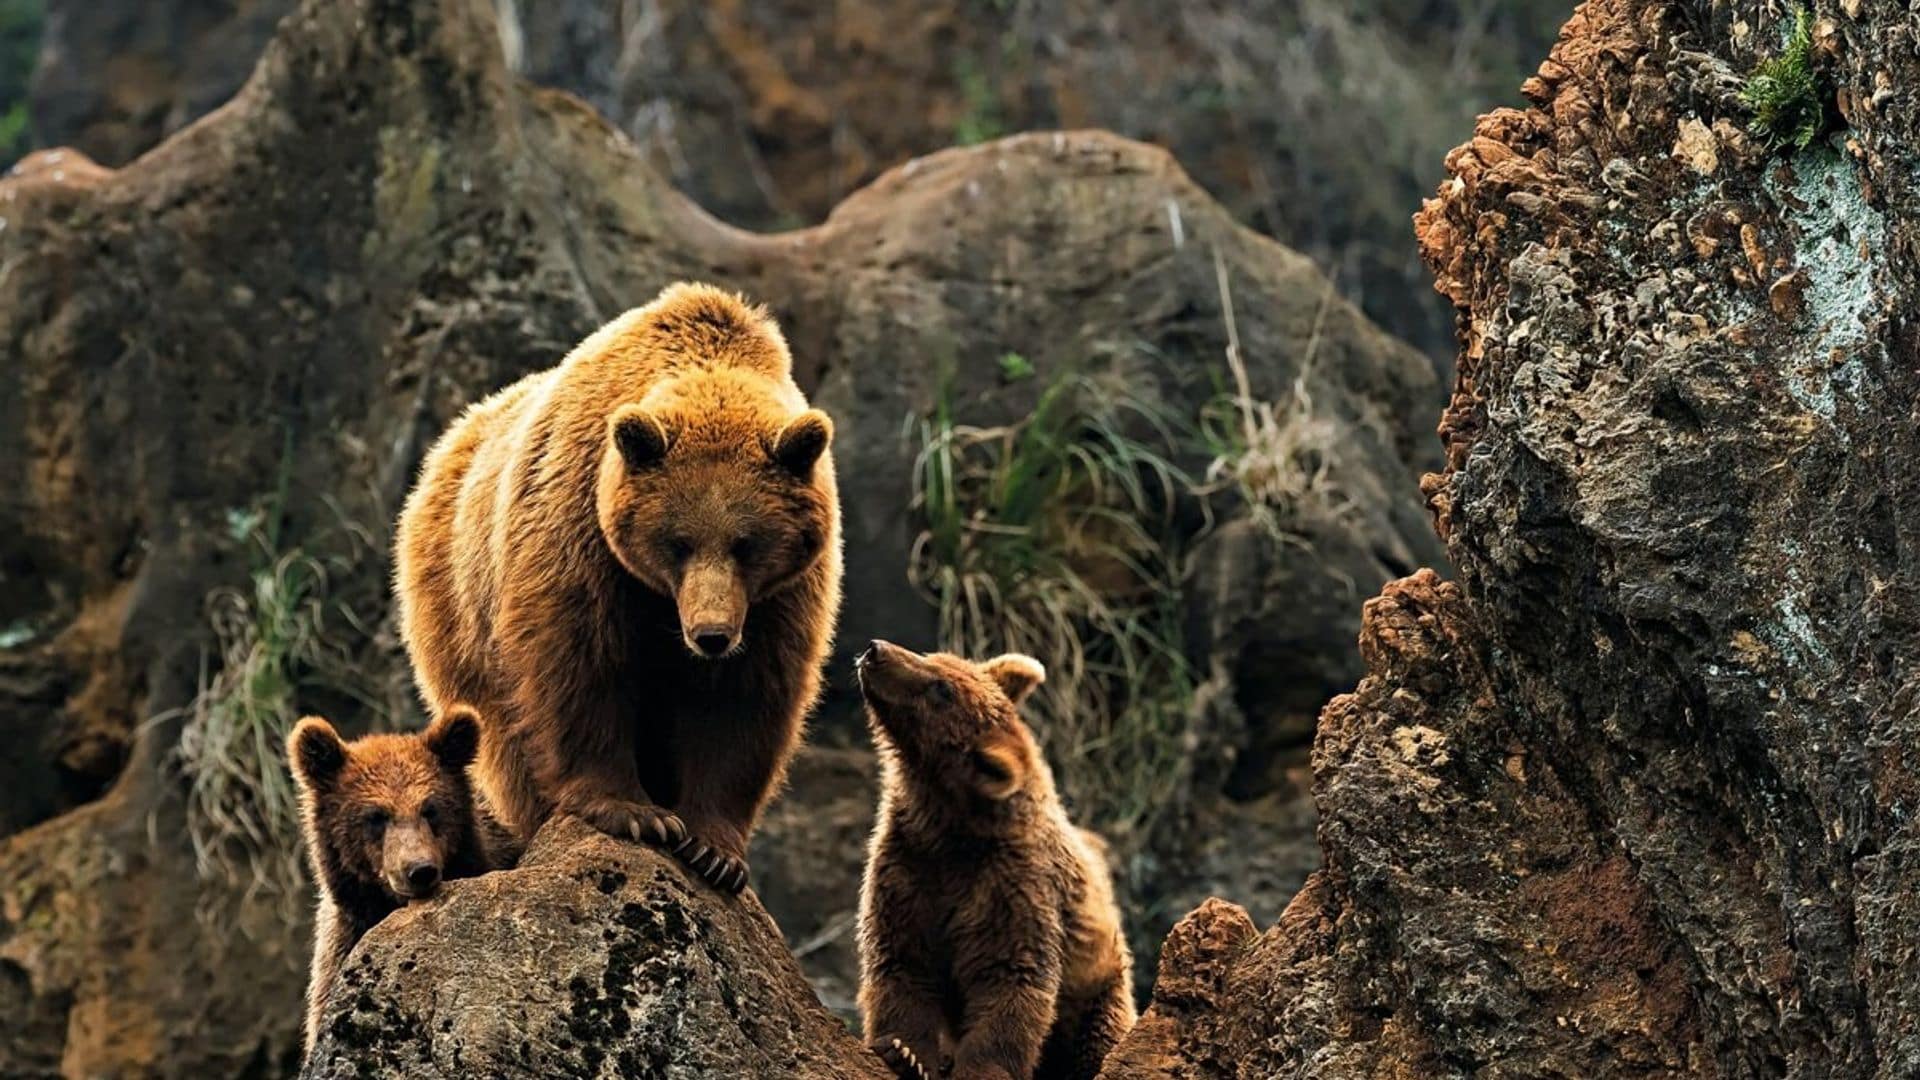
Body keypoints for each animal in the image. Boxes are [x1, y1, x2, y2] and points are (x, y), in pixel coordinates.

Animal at [393, 282, 837, 887]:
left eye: (747, 544)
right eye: (678, 541)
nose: (711, 635)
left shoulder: (779, 599)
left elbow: (743, 699)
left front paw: (713, 849)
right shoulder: (578, 533)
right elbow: (580, 665)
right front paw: (636, 814)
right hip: (459, 609)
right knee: (503, 734)